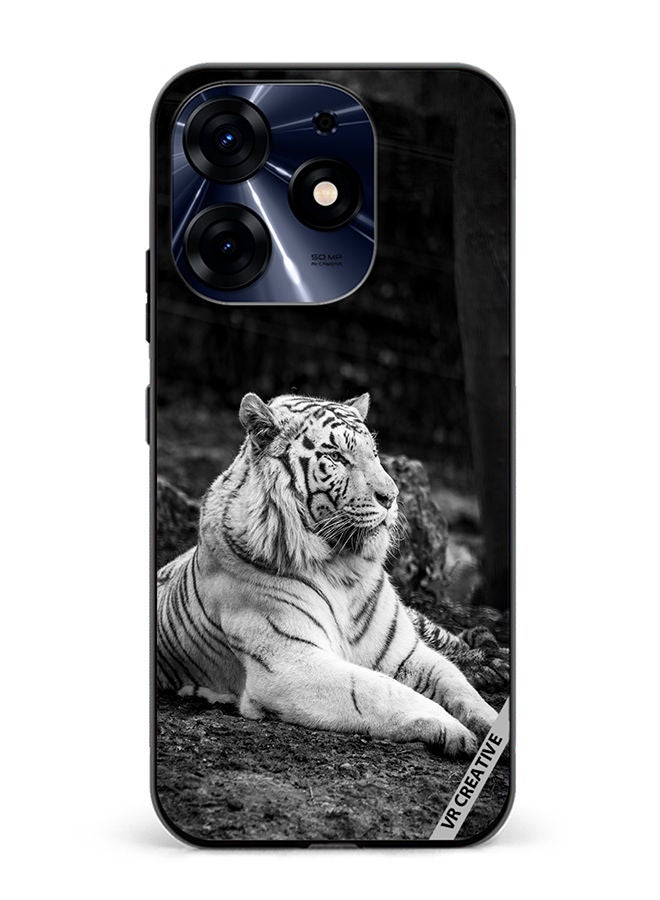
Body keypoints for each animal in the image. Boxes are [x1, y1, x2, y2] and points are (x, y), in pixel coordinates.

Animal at [157, 392, 498, 757]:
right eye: (336, 457)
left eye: (374, 454)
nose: (391, 497)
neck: (343, 569)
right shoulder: (290, 663)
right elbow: (380, 690)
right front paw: (454, 730)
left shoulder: (403, 651)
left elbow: (456, 683)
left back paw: (494, 661)